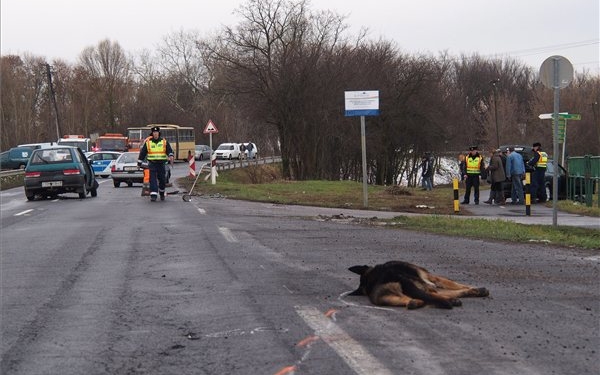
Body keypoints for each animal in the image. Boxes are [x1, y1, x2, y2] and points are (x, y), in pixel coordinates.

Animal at [350, 260, 490, 310]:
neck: (371, 274)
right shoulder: (431, 278)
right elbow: (457, 285)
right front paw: (474, 288)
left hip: (383, 297)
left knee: (412, 299)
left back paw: (415, 303)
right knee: (437, 293)